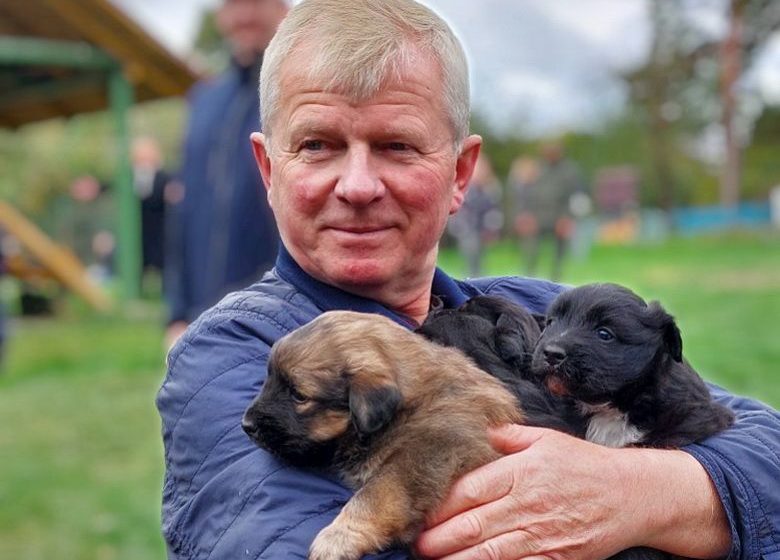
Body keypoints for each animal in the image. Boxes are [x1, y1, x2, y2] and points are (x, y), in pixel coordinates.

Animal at [242, 310, 524, 560]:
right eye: (269, 379)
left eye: (299, 395)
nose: (246, 425)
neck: (411, 406)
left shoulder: (428, 451)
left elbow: (374, 494)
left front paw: (338, 536)